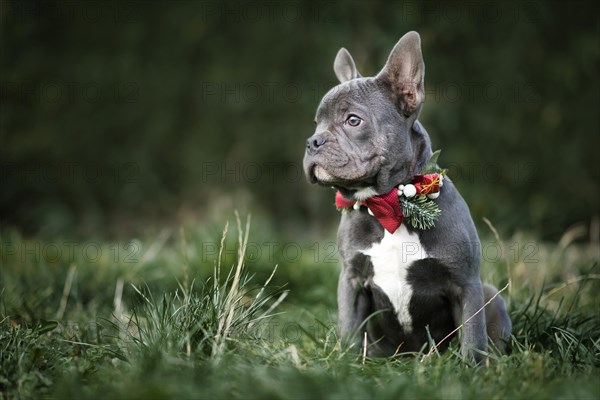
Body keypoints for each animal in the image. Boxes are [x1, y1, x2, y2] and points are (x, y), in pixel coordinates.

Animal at [302, 32, 508, 360]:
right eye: (316, 124)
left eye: (353, 120)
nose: (313, 141)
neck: (391, 202)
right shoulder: (351, 281)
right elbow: (349, 327)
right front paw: (346, 361)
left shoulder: (466, 284)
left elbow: (473, 337)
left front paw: (470, 367)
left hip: (491, 296)